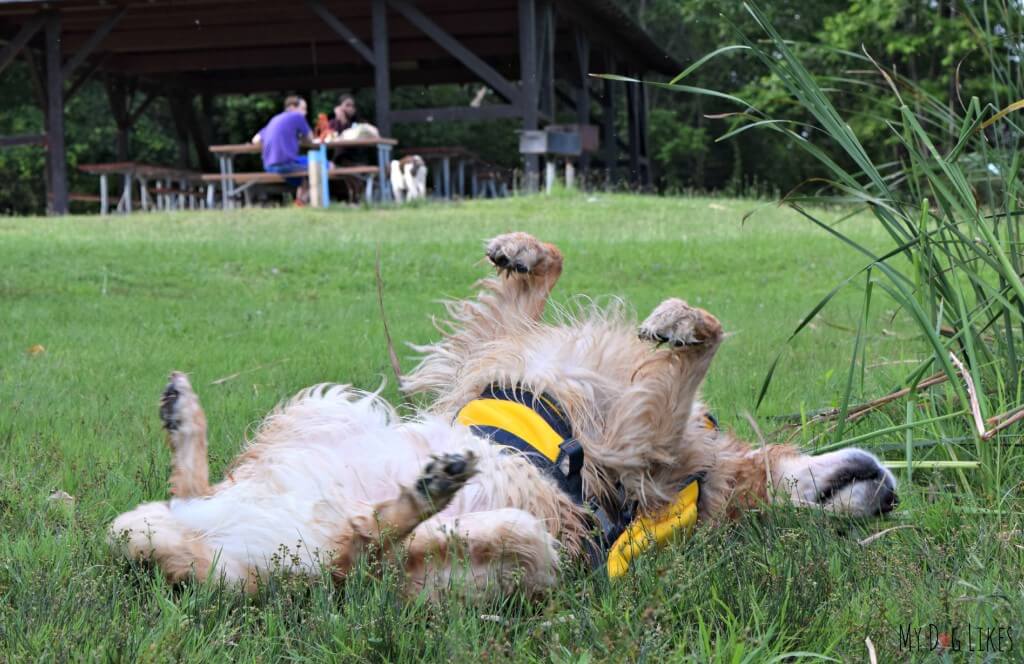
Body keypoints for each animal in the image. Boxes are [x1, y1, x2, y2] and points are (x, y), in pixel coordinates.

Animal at [110, 232, 897, 598]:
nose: (892, 497)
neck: (722, 474)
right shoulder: (486, 357)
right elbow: (526, 292)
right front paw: (525, 253)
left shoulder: (641, 449)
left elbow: (703, 344)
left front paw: (682, 322)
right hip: (324, 409)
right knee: (197, 496)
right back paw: (184, 417)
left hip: (507, 555)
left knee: (363, 553)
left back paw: (432, 496)